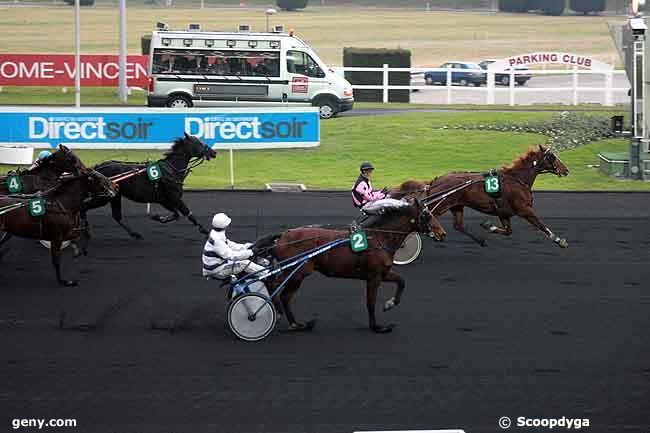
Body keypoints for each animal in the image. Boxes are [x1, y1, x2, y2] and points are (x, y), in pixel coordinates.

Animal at [85, 132, 218, 238]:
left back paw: (135, 234)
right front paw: (205, 231)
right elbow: (188, 214)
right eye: (199, 143)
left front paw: (158, 217)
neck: (170, 170)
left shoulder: (164, 200)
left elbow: (175, 214)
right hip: (104, 197)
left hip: (115, 196)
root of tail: (98, 167)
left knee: (116, 216)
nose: (214, 152)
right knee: (85, 207)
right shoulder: (174, 197)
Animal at [256, 199, 442, 334]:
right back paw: (283, 317)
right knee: (278, 289)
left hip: (296, 273)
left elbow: (401, 281)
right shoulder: (374, 276)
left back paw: (294, 322)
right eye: (427, 215)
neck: (380, 238)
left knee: (281, 292)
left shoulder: (383, 273)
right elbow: (370, 301)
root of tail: (282, 236)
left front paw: (389, 304)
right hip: (297, 272)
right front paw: (377, 327)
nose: (442, 233)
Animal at [390, 144, 568, 246]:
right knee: (426, 215)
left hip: (457, 205)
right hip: (440, 204)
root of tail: (436, 180)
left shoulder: (504, 213)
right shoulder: (524, 209)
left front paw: (488, 225)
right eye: (552, 156)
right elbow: (540, 224)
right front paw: (559, 240)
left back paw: (480, 240)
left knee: (458, 225)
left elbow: (508, 231)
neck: (517, 179)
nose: (566, 170)